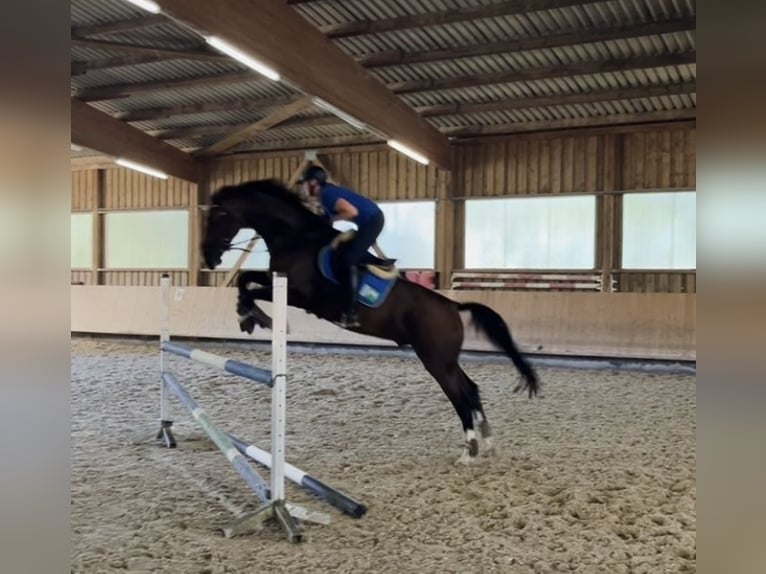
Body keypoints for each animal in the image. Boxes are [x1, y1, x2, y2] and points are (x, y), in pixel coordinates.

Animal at [204, 178, 540, 466]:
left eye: (218, 217)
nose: (209, 258)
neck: (295, 237)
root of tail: (453, 307)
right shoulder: (279, 281)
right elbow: (246, 279)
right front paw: (248, 316)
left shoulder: (299, 296)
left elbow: (250, 287)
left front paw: (255, 317)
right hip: (445, 359)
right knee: (470, 389)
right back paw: (488, 443)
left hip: (435, 360)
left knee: (460, 395)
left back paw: (469, 451)